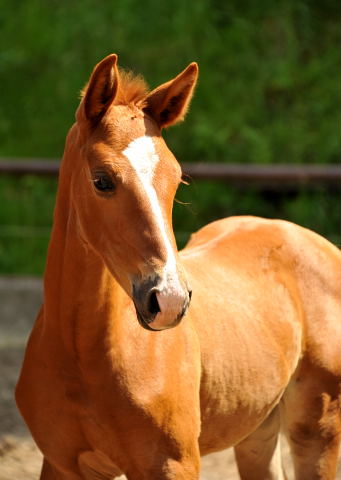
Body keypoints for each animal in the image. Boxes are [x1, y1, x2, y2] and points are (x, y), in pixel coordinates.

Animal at [16, 54, 340, 478]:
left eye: (177, 181)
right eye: (101, 180)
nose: (168, 299)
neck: (81, 354)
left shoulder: (172, 464)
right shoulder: (61, 464)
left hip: (317, 430)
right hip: (257, 429)